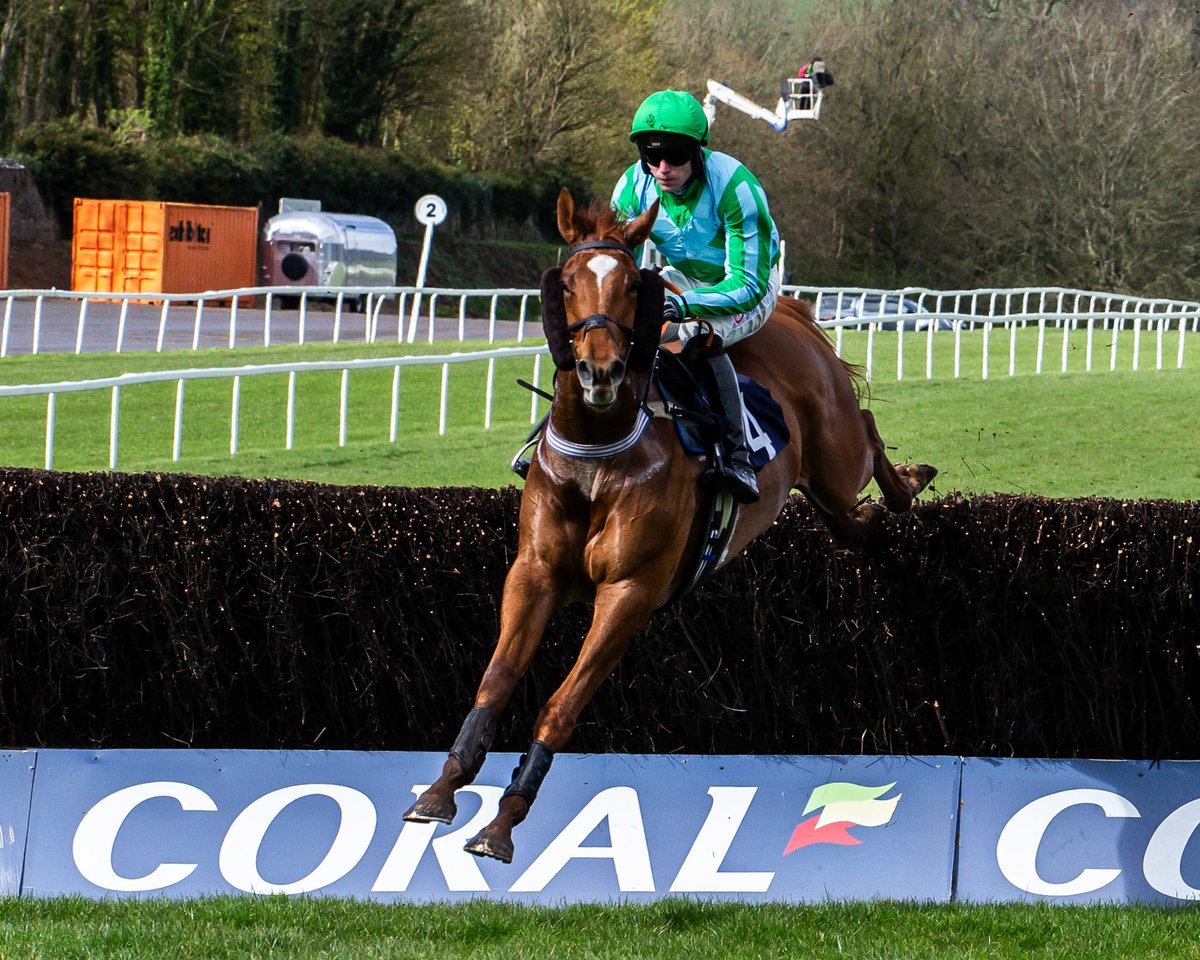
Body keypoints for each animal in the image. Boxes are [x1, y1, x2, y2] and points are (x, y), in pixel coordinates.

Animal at [405, 187, 936, 864]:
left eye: (634, 284)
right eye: (568, 283)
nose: (600, 372)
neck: (598, 453)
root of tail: (793, 316)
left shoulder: (629, 591)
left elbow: (559, 705)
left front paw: (503, 821)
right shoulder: (533, 573)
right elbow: (495, 680)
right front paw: (442, 789)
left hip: (835, 452)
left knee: (864, 432)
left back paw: (908, 482)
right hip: (822, 485)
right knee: (847, 519)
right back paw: (875, 512)